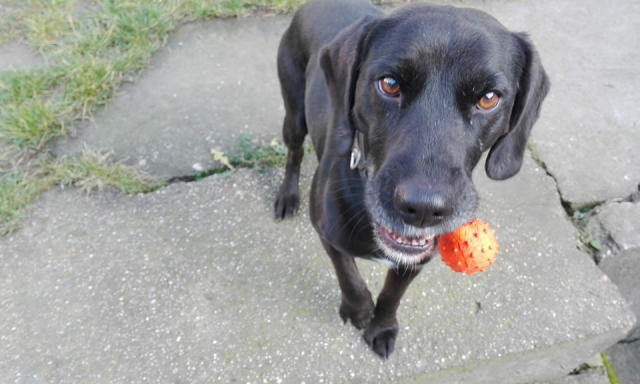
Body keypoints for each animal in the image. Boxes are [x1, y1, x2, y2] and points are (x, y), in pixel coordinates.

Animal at [272, 0, 548, 360]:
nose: (424, 209)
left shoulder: (416, 259)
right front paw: (359, 311)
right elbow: (350, 278)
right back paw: (287, 196)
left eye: (488, 98)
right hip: (294, 114)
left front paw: (381, 327)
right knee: (293, 152)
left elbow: (392, 295)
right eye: (389, 84)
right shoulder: (327, 232)